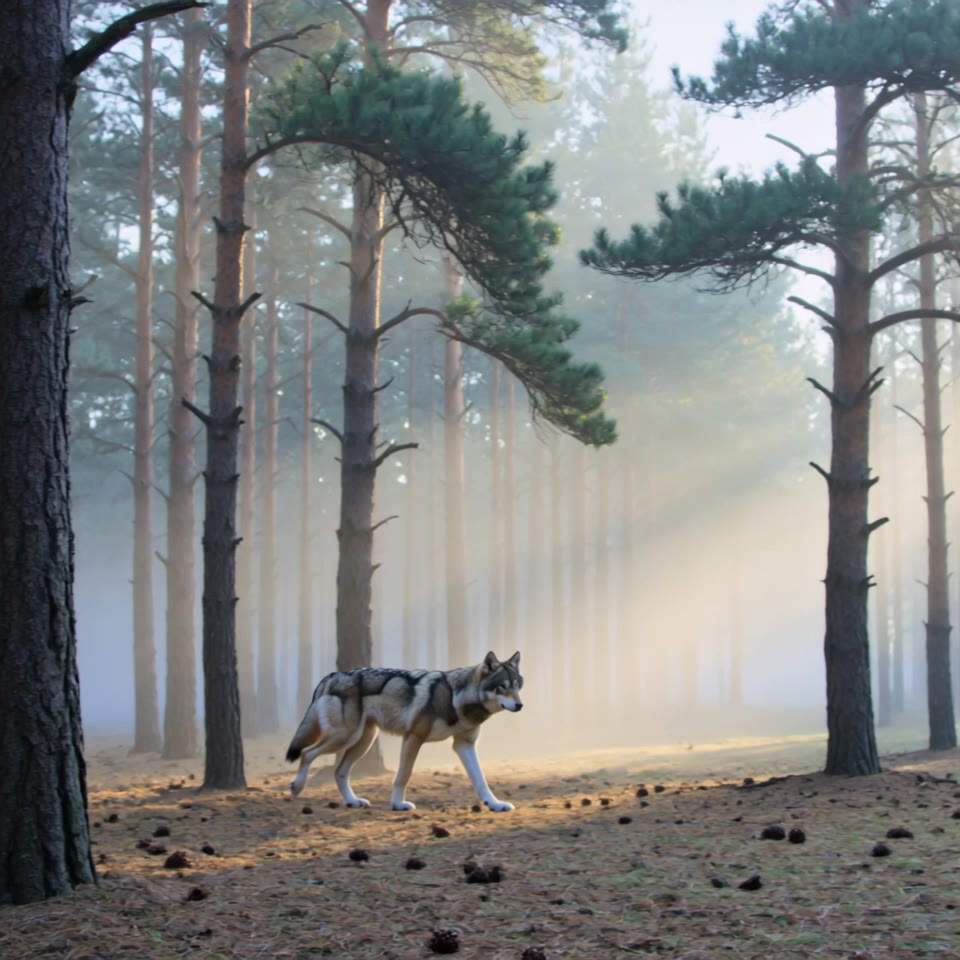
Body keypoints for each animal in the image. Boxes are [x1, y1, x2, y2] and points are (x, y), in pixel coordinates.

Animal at [285, 651, 523, 812]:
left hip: (363, 741)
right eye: (502, 687)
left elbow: (480, 779)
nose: (520, 705)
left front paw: (495, 804)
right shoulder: (413, 738)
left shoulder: (464, 745)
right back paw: (296, 787)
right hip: (344, 737)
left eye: (517, 685)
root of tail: (332, 675)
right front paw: (398, 804)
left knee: (339, 771)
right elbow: (404, 775)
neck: (455, 697)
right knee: (307, 752)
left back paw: (353, 801)